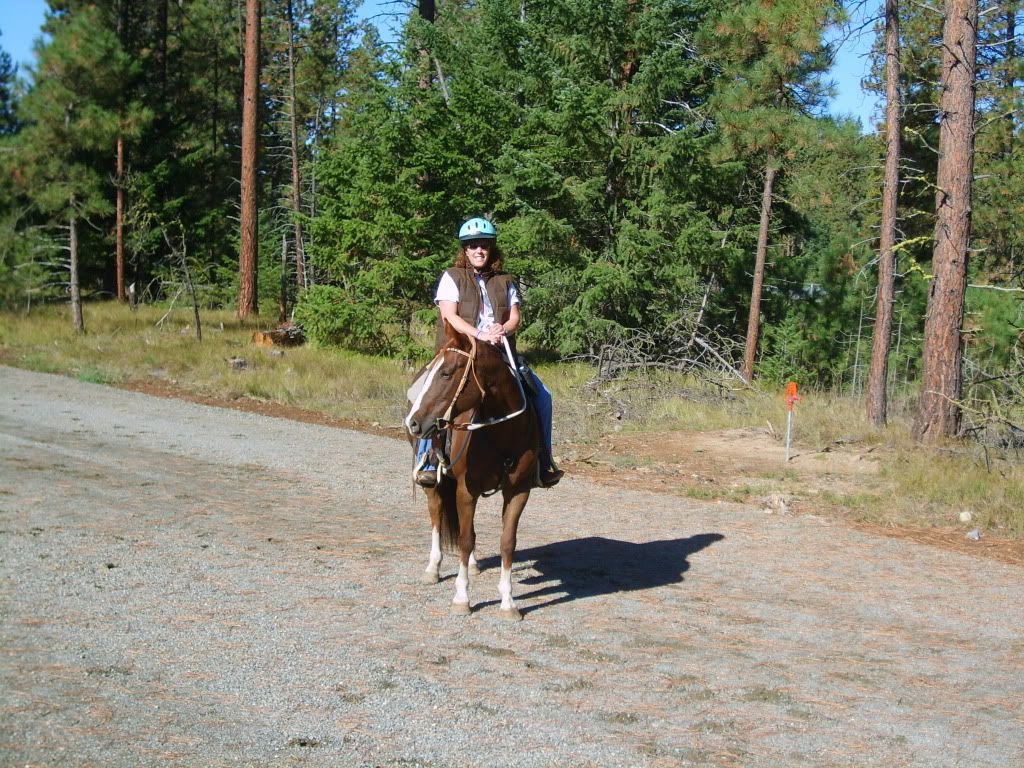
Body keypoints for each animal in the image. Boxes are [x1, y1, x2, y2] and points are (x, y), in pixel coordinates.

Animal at [405, 321, 540, 620]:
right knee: (436, 516)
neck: (502, 433)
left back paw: (475, 565)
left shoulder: (519, 491)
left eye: (446, 373)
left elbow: (507, 542)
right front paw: (461, 598)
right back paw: (433, 569)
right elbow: (465, 539)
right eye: (436, 371)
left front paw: (508, 603)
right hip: (435, 483)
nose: (413, 422)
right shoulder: (466, 490)